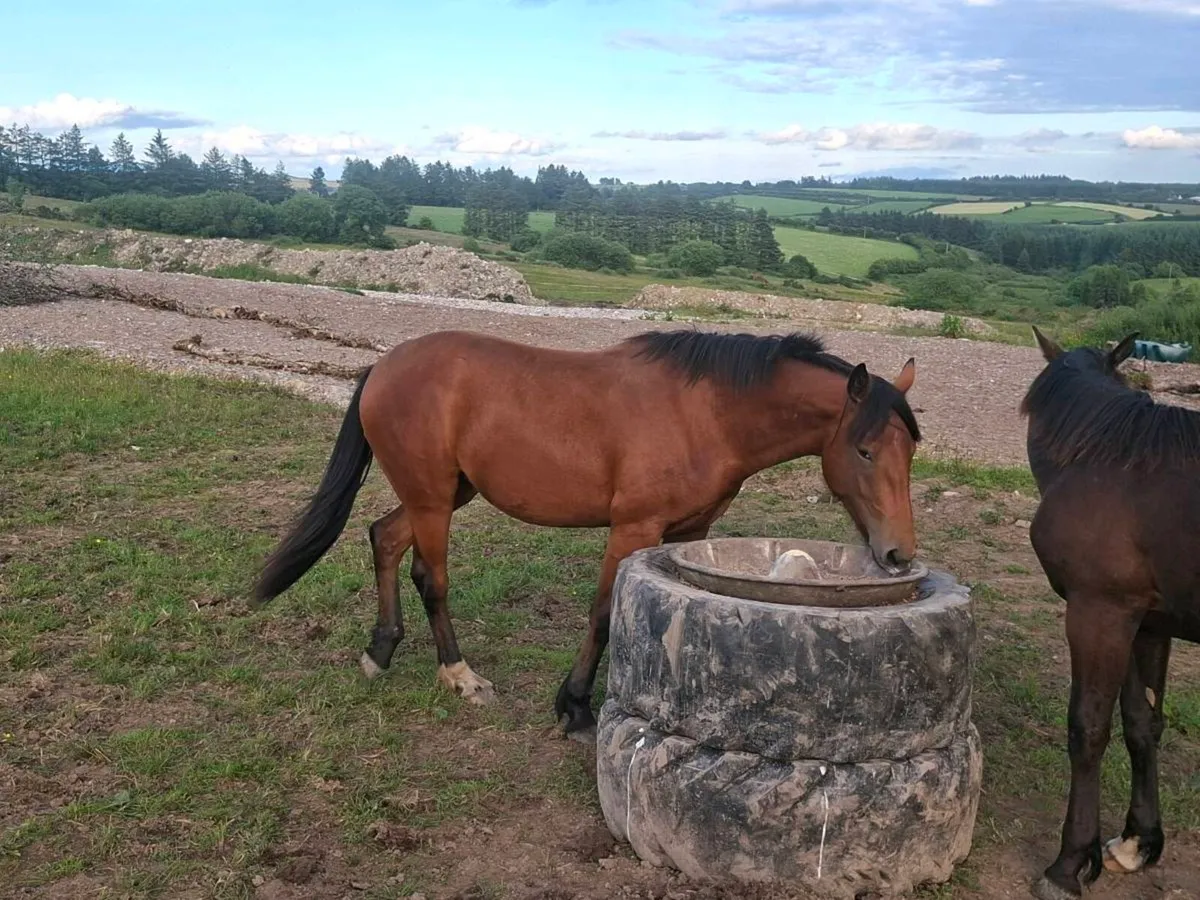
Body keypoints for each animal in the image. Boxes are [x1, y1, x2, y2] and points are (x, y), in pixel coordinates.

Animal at [251, 328, 922, 738]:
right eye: (864, 450)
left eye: (910, 450)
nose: (897, 553)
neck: (707, 413)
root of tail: (383, 364)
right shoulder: (634, 526)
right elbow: (603, 614)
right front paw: (574, 706)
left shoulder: (691, 529)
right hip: (433, 500)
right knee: (430, 578)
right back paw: (459, 675)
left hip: (442, 495)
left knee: (385, 539)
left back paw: (380, 649)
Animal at [1024, 326, 1200, 900]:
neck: (1113, 465)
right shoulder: (1145, 624)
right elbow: (1143, 722)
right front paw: (1137, 843)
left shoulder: (1097, 614)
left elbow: (1089, 729)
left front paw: (1068, 864)